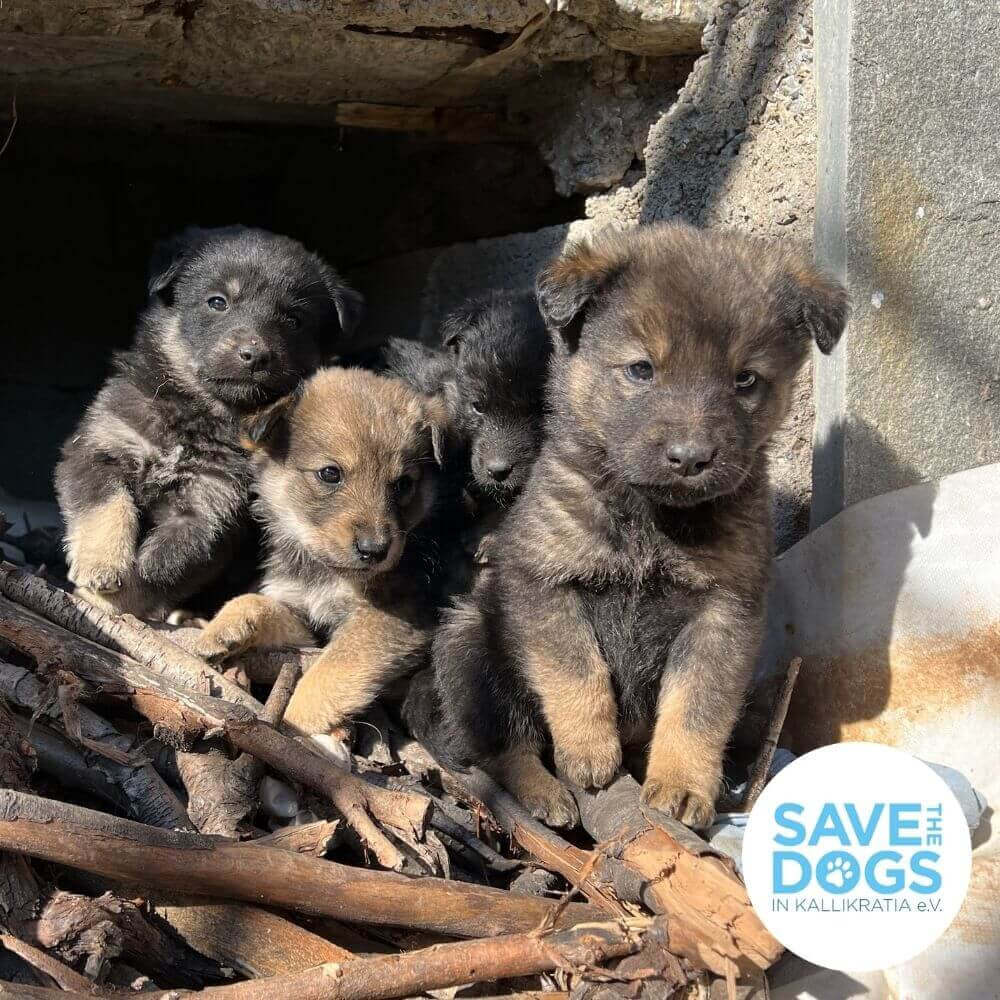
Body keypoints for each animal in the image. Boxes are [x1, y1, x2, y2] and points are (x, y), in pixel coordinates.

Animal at [52, 225, 362, 624]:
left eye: (294, 320)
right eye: (217, 302)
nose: (255, 355)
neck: (199, 415)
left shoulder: (216, 499)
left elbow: (176, 557)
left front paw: (130, 591)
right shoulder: (100, 447)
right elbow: (105, 507)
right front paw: (102, 567)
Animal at [195, 368, 454, 736]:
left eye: (403, 484)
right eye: (330, 473)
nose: (375, 550)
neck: (322, 570)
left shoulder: (392, 620)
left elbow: (329, 672)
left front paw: (295, 725)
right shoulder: (306, 618)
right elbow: (259, 602)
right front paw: (224, 627)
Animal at [402, 225, 848, 828]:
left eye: (745, 380)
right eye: (641, 369)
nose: (690, 458)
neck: (647, 520)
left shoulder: (724, 613)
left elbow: (696, 709)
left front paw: (681, 784)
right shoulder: (545, 583)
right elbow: (576, 671)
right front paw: (589, 750)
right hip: (472, 646)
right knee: (506, 747)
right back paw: (544, 792)